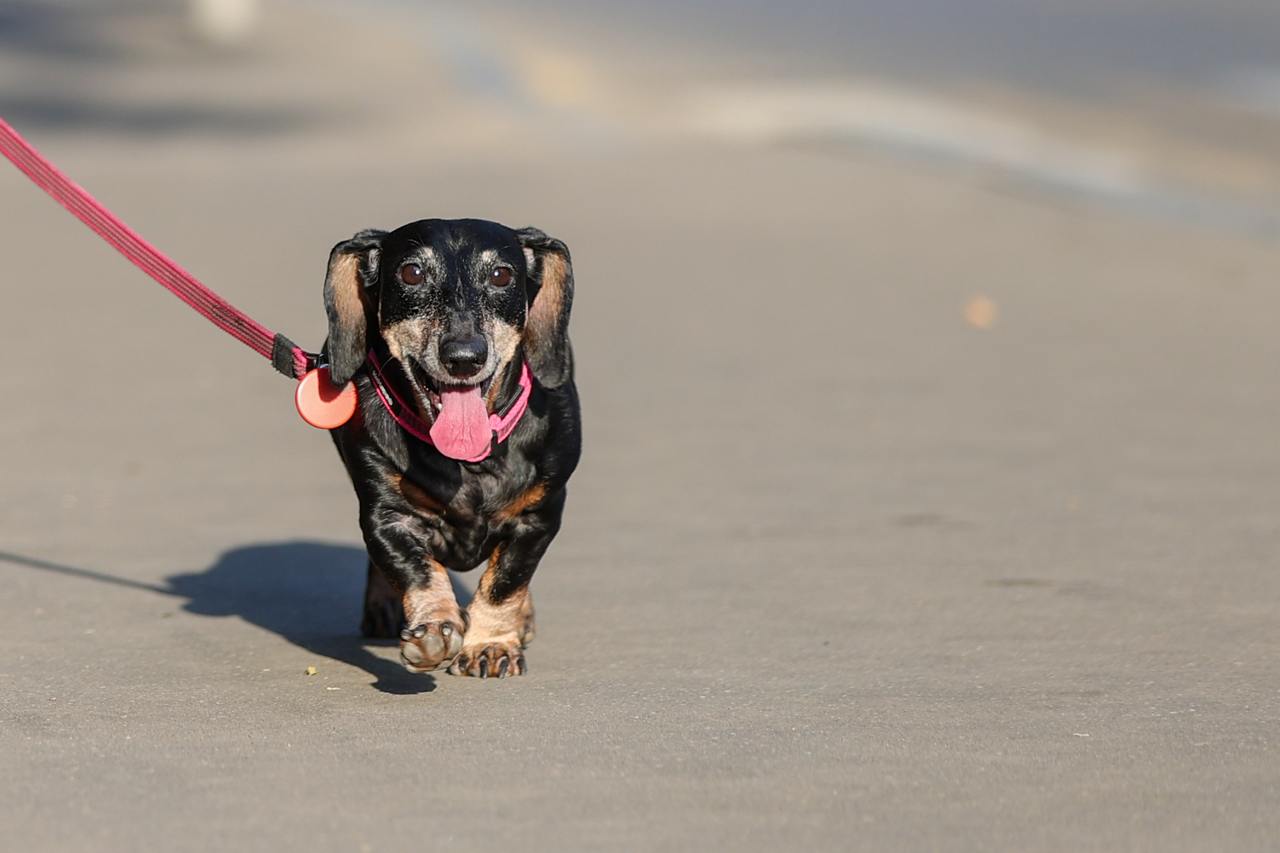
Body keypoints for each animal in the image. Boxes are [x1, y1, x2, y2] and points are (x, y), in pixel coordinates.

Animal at [322, 219, 583, 676]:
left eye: (501, 275)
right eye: (412, 273)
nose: (464, 357)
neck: (470, 462)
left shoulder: (539, 516)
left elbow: (506, 581)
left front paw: (491, 644)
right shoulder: (387, 517)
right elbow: (418, 571)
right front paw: (434, 628)